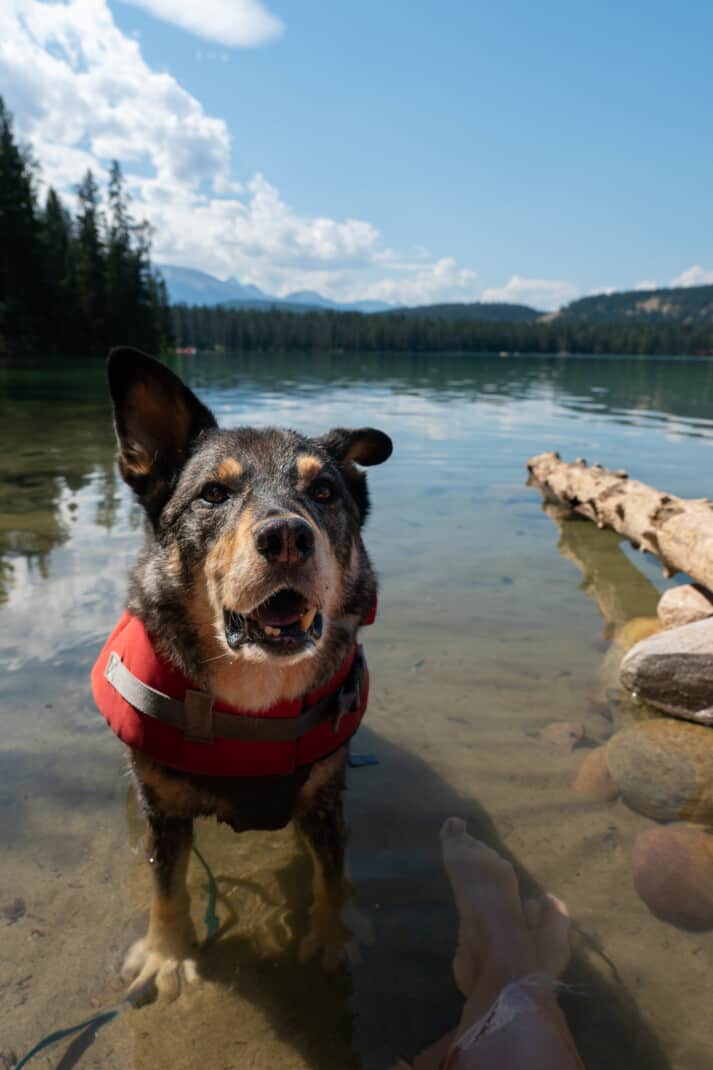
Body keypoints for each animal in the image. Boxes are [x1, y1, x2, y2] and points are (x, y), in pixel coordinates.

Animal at [91, 346, 391, 997]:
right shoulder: (164, 812)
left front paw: (334, 938)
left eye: (324, 490)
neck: (255, 697)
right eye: (211, 493)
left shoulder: (324, 802)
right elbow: (167, 888)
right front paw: (167, 952)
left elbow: (333, 878)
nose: (287, 536)